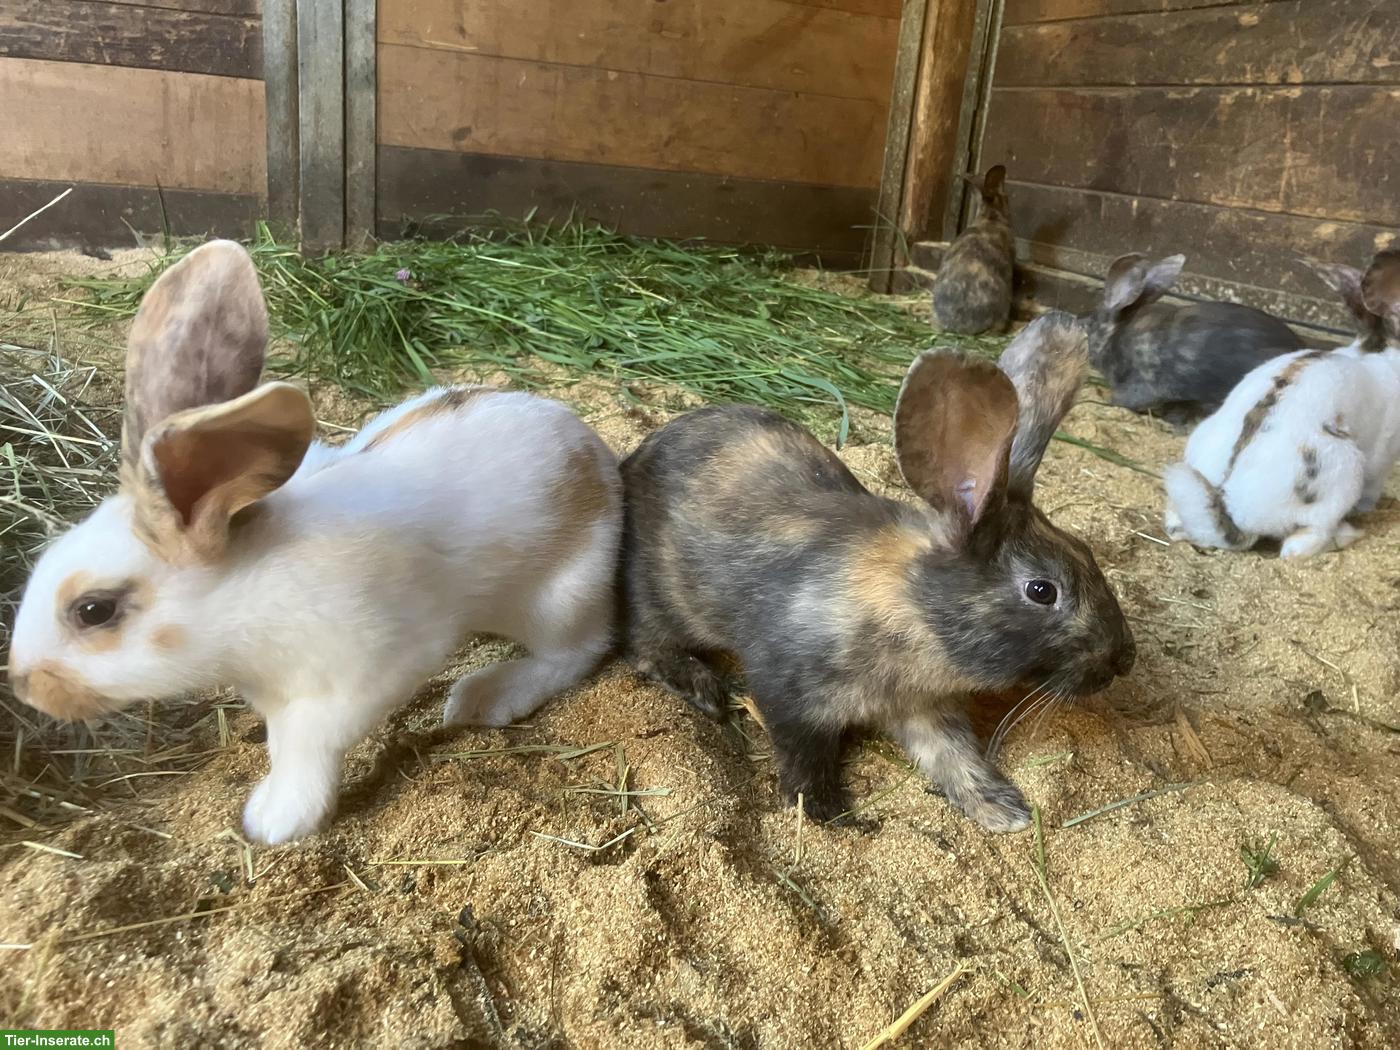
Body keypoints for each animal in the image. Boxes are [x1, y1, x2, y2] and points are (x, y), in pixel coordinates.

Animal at [6, 240, 623, 845]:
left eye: (93, 610)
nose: (25, 687)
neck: (242, 591)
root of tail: (599, 460)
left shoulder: (366, 671)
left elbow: (308, 745)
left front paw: (275, 822)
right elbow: (282, 744)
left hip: (559, 598)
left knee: (574, 652)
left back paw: (481, 698)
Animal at [619, 312, 1135, 832]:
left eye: (1086, 550)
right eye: (1041, 590)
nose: (1124, 660)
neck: (914, 609)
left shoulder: (928, 712)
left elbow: (955, 758)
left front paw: (1001, 809)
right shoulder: (789, 694)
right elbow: (804, 759)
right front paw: (829, 816)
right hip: (660, 600)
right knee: (645, 645)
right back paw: (703, 689)